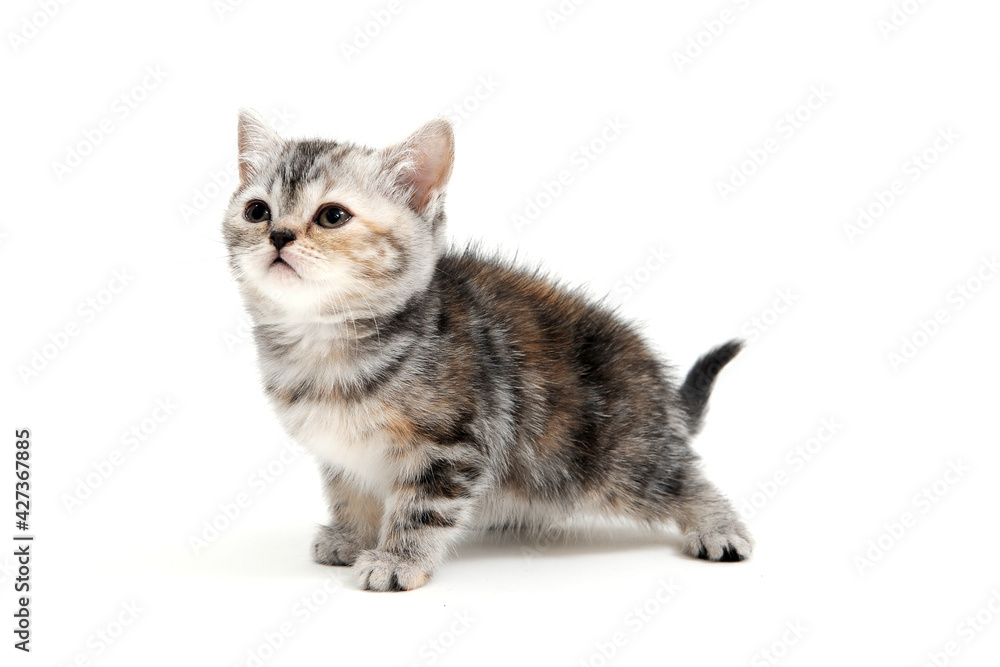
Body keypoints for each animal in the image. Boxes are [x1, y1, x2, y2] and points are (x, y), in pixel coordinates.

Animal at [221, 111, 752, 596]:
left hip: (617, 459)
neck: (324, 341)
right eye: (257, 211)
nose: (279, 235)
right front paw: (351, 536)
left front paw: (398, 559)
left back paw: (719, 526)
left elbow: (421, 508)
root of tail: (661, 394)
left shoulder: (452, 444)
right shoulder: (342, 454)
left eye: (332, 216)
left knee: (683, 480)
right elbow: (348, 492)